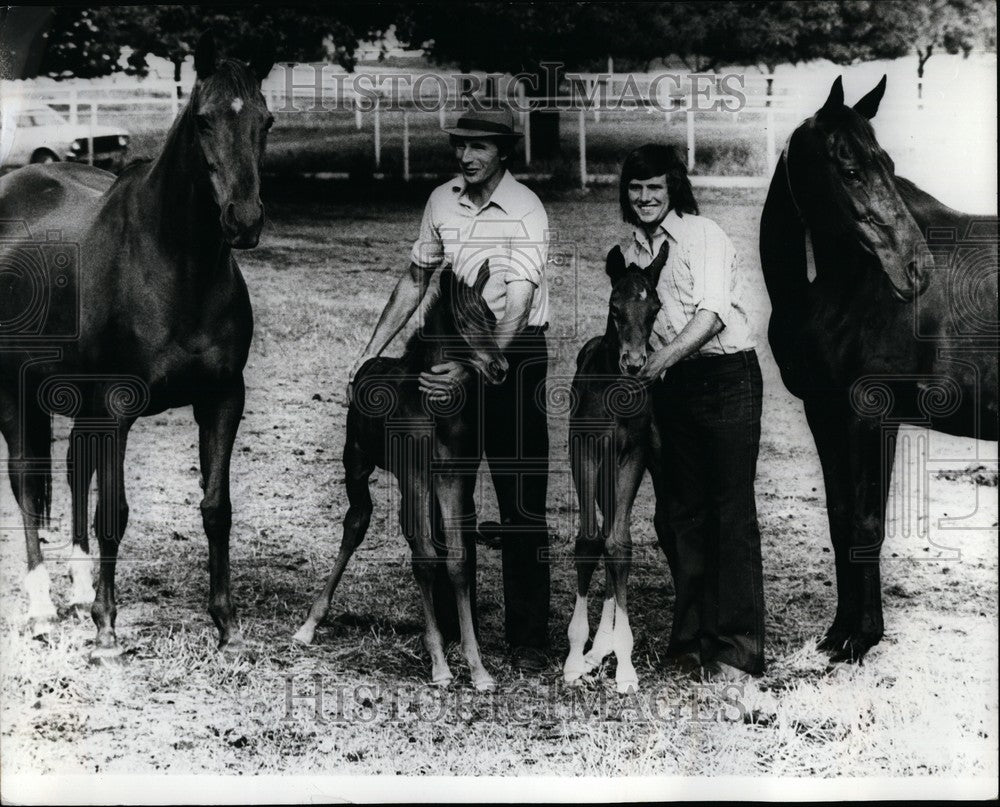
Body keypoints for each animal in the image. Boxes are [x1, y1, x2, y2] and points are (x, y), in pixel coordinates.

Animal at [0, 34, 274, 660]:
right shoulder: (118, 406)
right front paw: (107, 627)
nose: (243, 220)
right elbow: (114, 513)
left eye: (266, 121)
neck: (175, 265)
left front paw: (227, 625)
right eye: (202, 120)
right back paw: (45, 608)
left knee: (73, 469)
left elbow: (217, 509)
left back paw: (76, 594)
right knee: (26, 479)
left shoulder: (223, 399)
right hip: (15, 392)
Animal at [292, 262, 508, 692]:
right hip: (357, 461)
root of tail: (369, 364)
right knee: (356, 524)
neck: (434, 407)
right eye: (464, 320)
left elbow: (458, 560)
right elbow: (425, 559)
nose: (499, 368)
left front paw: (477, 669)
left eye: (492, 318)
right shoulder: (415, 473)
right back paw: (310, 623)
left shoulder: (451, 477)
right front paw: (440, 665)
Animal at [760, 74, 996, 664]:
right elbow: (842, 519)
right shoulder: (825, 412)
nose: (916, 270)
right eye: (850, 170)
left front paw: (861, 638)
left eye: (887, 163)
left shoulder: (871, 413)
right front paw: (838, 633)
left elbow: (867, 522)